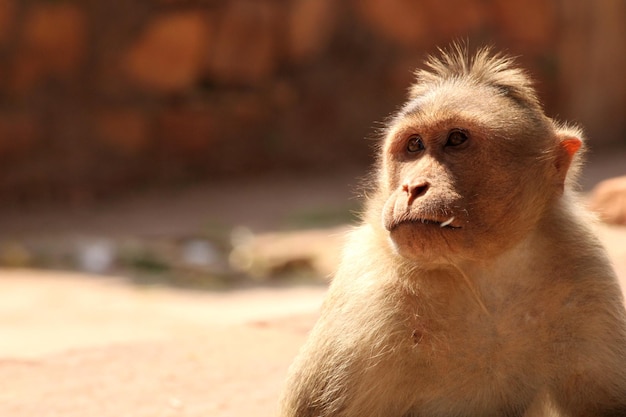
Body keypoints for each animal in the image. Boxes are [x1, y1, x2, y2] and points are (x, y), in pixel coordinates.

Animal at [280, 43, 624, 416]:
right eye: (414, 145)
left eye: (456, 139)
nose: (413, 187)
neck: (479, 273)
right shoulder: (367, 295)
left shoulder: (584, 273)